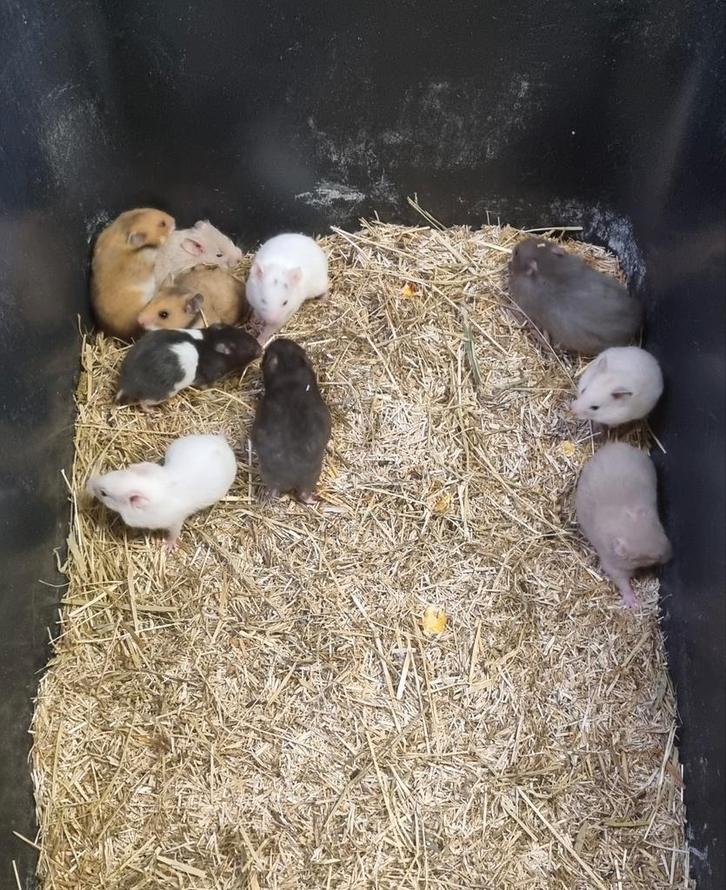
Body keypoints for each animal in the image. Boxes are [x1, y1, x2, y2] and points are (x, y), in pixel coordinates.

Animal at [86, 433, 237, 549]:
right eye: (111, 473)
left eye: (104, 493)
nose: (88, 482)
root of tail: (222, 441)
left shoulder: (175, 521)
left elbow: (174, 533)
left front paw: (168, 546)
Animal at [116, 324, 261, 409]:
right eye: (250, 349)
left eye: (248, 335)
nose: (261, 349)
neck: (213, 339)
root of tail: (126, 384)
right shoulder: (207, 377)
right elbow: (206, 388)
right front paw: (212, 396)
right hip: (162, 394)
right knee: (143, 403)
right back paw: (152, 411)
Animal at [575, 442, 672, 607]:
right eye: (636, 558)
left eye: (662, 529)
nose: (670, 556)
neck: (629, 522)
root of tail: (612, 444)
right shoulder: (611, 563)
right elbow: (621, 581)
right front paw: (633, 603)